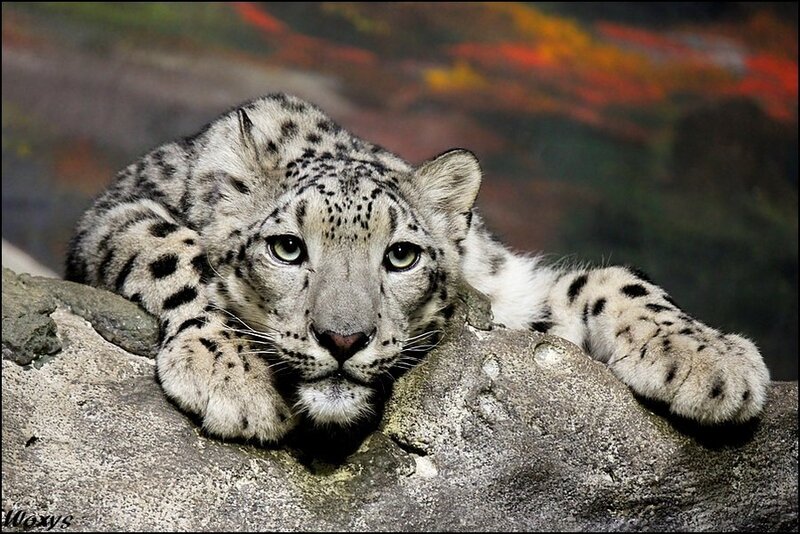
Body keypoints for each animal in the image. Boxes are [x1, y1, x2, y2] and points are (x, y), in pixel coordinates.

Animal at [66, 93, 770, 446]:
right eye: (287, 248)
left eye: (400, 255)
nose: (343, 339)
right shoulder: (114, 214)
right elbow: (173, 247)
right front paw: (234, 375)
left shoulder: (508, 295)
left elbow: (608, 279)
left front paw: (714, 362)